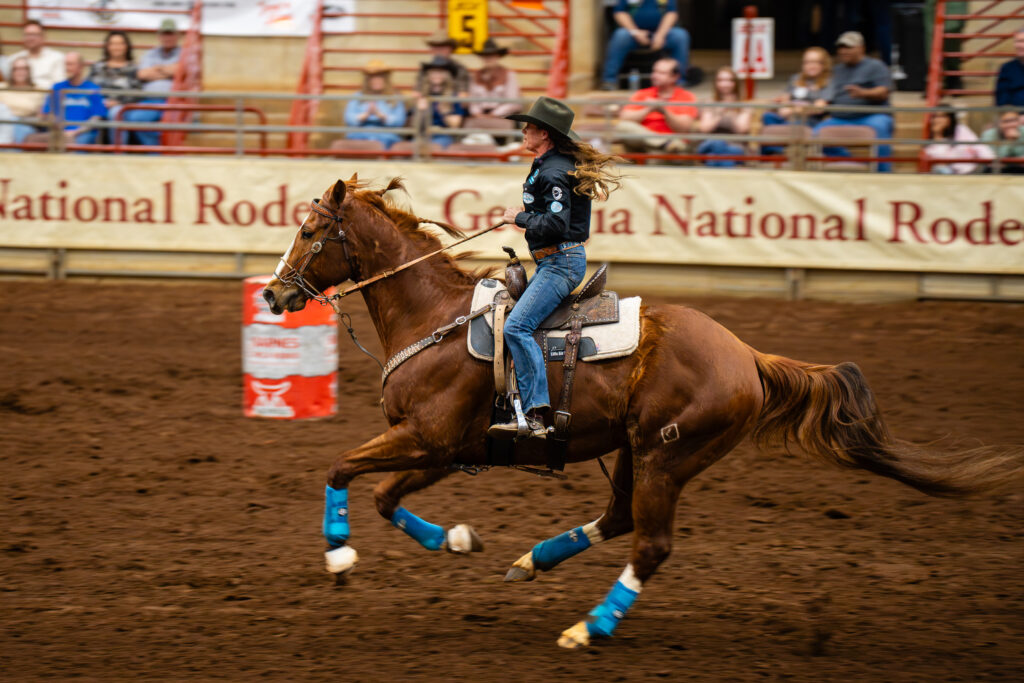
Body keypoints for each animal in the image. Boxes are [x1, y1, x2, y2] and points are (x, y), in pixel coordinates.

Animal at [261, 177, 1023, 649]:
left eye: (310, 230)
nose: (272, 295)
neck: (436, 317)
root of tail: (746, 355)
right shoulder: (447, 449)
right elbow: (386, 497)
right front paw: (455, 539)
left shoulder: (428, 437)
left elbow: (343, 469)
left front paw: (338, 555)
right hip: (634, 447)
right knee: (621, 517)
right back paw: (531, 562)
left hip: (668, 454)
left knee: (649, 544)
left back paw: (587, 628)